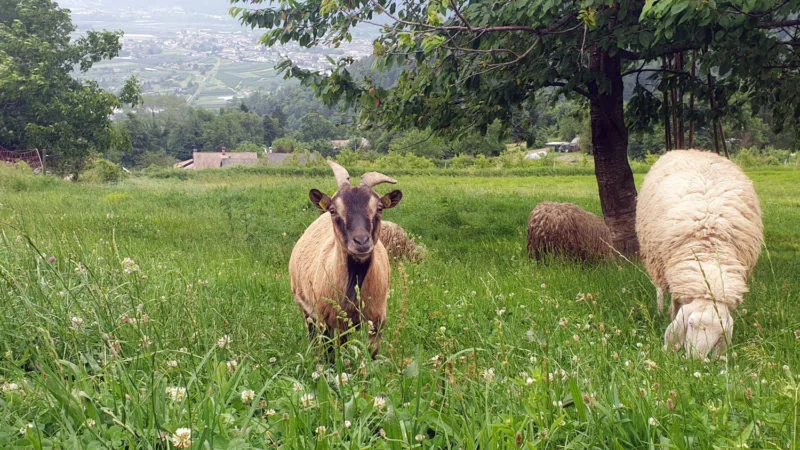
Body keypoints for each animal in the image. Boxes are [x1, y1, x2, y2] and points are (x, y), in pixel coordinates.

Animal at [290, 161, 404, 358]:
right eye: (333, 210)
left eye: (379, 208)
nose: (361, 242)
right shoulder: (325, 319)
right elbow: (330, 353)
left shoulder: (378, 320)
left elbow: (370, 355)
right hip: (306, 307)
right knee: (311, 332)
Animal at [636, 149, 764, 360]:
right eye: (691, 324)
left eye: (721, 332)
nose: (695, 361)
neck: (708, 254)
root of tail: (691, 150)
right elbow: (675, 306)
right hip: (654, 258)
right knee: (660, 288)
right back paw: (660, 309)